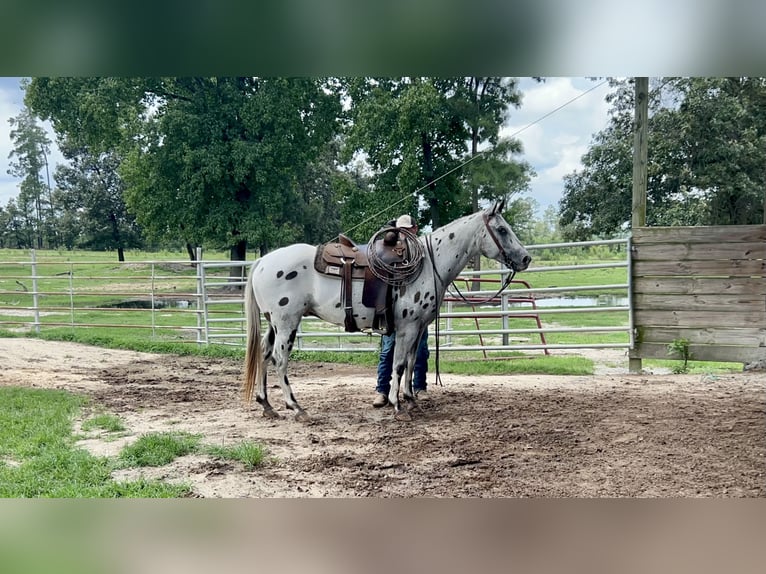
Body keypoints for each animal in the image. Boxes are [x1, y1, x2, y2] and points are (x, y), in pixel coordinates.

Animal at [243, 200, 532, 420]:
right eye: (502, 229)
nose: (526, 258)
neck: (429, 263)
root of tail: (263, 261)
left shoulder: (418, 329)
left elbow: (412, 362)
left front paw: (411, 399)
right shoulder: (407, 327)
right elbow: (400, 364)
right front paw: (397, 405)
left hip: (274, 324)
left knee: (264, 355)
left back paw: (266, 405)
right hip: (287, 323)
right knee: (279, 359)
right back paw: (296, 407)